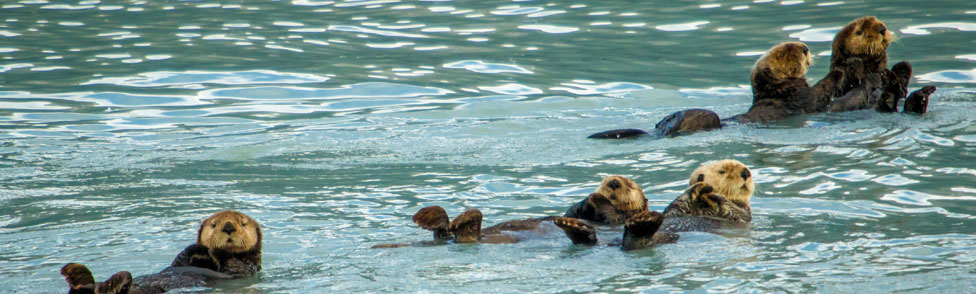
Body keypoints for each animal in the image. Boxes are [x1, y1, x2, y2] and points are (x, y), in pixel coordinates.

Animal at [64, 210, 264, 294]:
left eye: (243, 223)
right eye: (214, 225)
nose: (228, 227)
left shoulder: (246, 267)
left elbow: (234, 265)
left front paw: (214, 250)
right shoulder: (181, 262)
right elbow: (181, 259)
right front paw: (198, 248)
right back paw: (76, 275)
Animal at [552, 160, 752, 249]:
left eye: (630, 185)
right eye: (723, 171)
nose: (746, 172)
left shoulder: (743, 214)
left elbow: (735, 212)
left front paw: (712, 193)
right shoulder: (675, 211)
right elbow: (676, 207)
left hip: (665, 238)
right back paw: (572, 226)